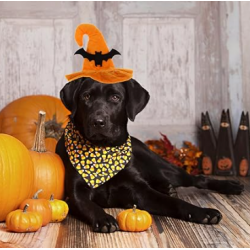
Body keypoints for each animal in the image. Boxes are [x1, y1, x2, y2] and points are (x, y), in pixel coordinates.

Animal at [56, 77, 244, 232]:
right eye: (86, 97)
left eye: (115, 97)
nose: (98, 122)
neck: (103, 151)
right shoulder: (75, 194)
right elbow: (90, 206)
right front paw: (104, 219)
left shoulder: (140, 190)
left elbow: (176, 202)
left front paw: (202, 212)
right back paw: (167, 188)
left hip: (164, 167)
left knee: (197, 179)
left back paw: (231, 186)